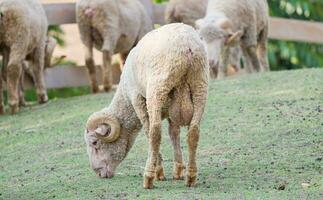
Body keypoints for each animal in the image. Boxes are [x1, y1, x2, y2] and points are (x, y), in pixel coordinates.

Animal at [85, 23, 209, 189]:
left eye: (94, 142)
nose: (98, 173)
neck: (125, 98)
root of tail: (187, 47)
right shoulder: (172, 110)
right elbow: (174, 133)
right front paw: (178, 171)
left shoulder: (137, 99)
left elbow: (148, 131)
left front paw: (159, 172)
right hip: (200, 86)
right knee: (194, 131)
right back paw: (191, 177)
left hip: (157, 89)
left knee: (155, 132)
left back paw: (149, 177)